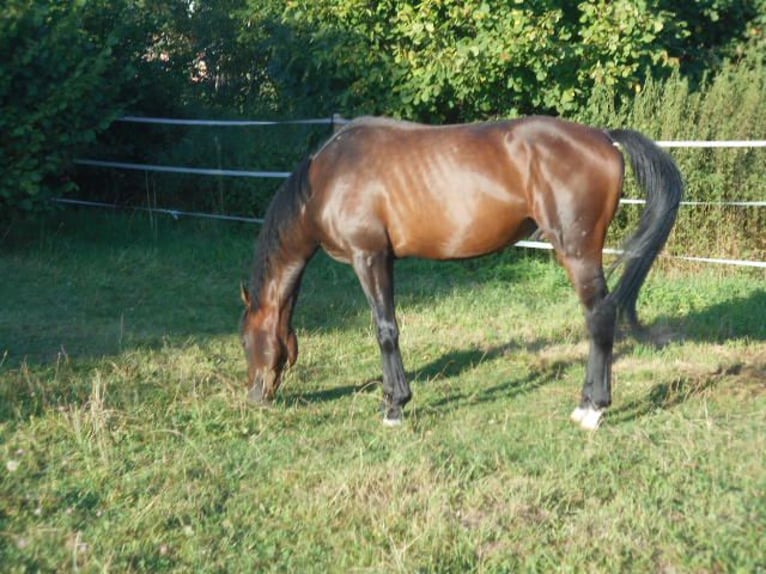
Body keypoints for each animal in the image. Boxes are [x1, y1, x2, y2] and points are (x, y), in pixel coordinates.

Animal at [240, 116, 684, 432]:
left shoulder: (368, 257)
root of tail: (603, 137)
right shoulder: (386, 260)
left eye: (245, 341)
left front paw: (394, 406)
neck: (327, 179)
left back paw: (592, 410)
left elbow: (385, 330)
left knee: (600, 317)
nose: (255, 396)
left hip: (578, 254)